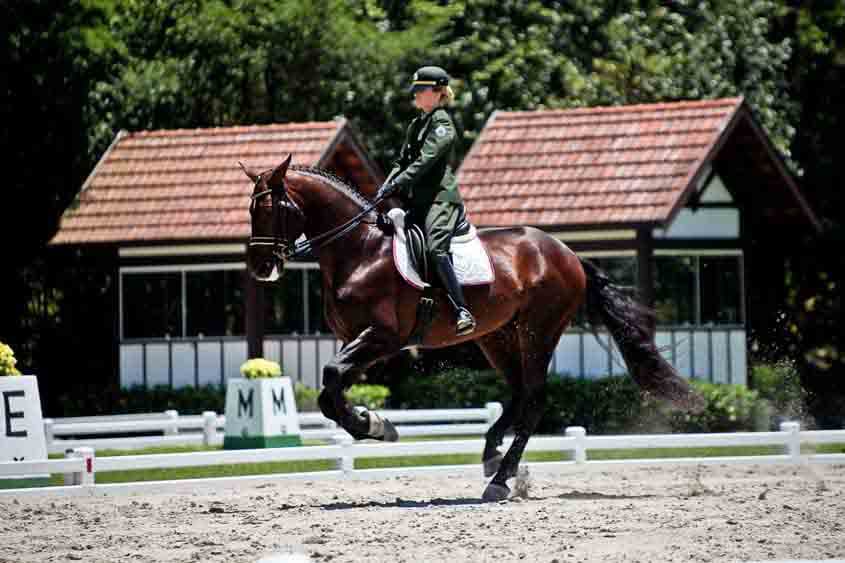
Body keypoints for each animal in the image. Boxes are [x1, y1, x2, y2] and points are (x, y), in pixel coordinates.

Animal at [241, 155, 704, 502]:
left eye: (268, 210)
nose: (261, 268)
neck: (360, 250)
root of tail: (567, 253)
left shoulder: (382, 338)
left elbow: (332, 378)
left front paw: (374, 426)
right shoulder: (356, 340)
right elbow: (329, 393)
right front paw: (373, 422)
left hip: (538, 331)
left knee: (535, 398)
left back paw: (500, 479)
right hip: (498, 336)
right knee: (519, 394)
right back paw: (492, 455)